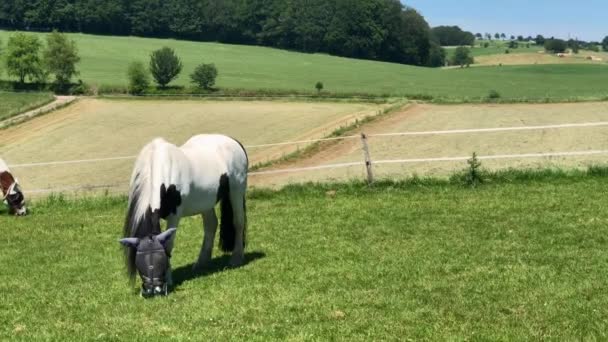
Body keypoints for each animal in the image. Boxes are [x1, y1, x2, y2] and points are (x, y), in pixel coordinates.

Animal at [119, 135, 247, 298]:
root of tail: (234, 141)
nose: (154, 290)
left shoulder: (175, 215)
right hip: (205, 202)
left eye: (161, 259)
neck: (157, 165)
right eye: (139, 262)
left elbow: (168, 244)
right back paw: (201, 262)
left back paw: (236, 258)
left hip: (236, 191)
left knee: (238, 222)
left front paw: (169, 279)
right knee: (211, 225)